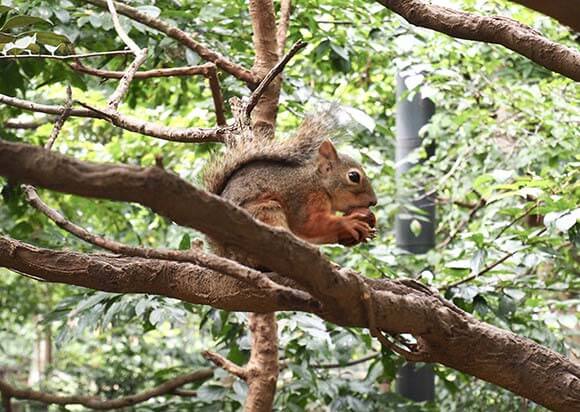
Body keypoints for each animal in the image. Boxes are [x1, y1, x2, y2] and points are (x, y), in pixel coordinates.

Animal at [203, 110, 376, 251]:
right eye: (353, 176)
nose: (373, 202)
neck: (319, 183)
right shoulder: (306, 199)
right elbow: (310, 225)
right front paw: (349, 223)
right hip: (264, 211)